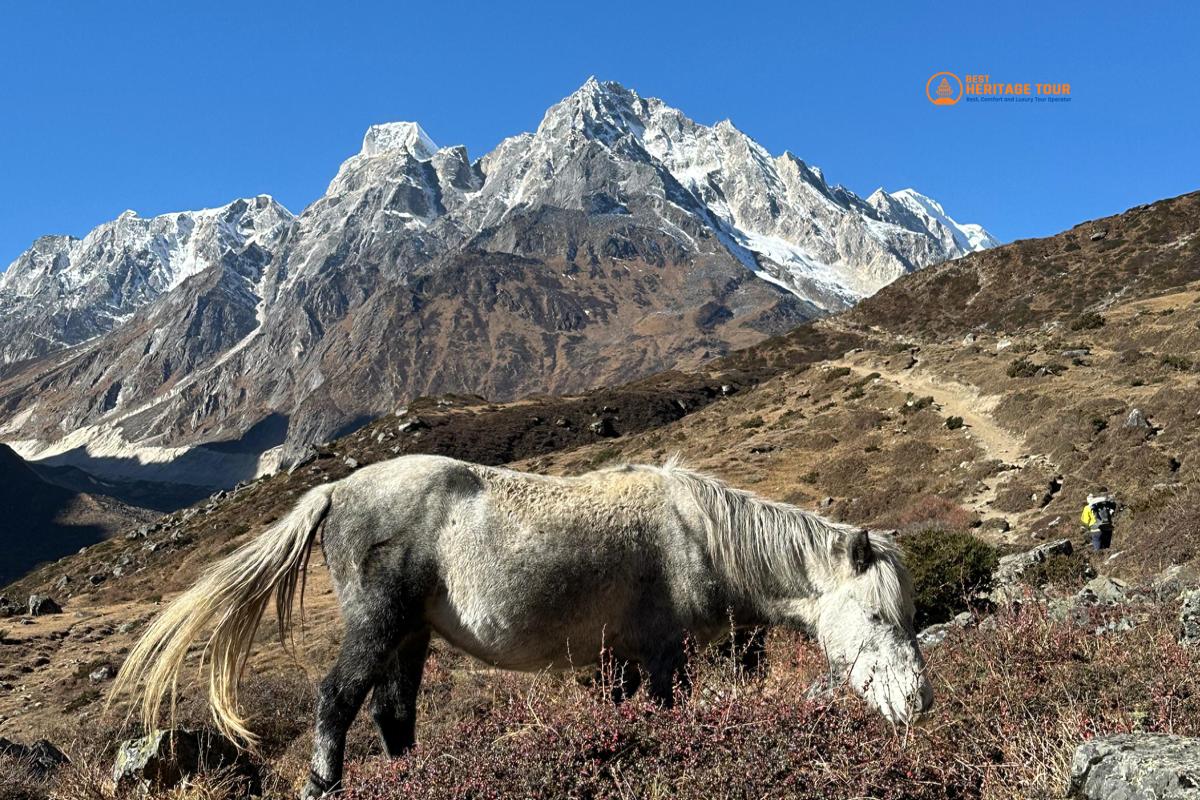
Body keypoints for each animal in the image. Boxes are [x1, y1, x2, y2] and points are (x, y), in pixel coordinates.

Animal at [112, 453, 931, 796]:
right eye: (878, 615)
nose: (918, 704)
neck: (699, 536)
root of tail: (337, 489)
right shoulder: (663, 657)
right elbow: (667, 716)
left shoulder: (617, 661)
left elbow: (619, 720)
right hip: (378, 627)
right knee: (336, 702)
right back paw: (325, 785)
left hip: (411, 638)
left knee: (394, 714)